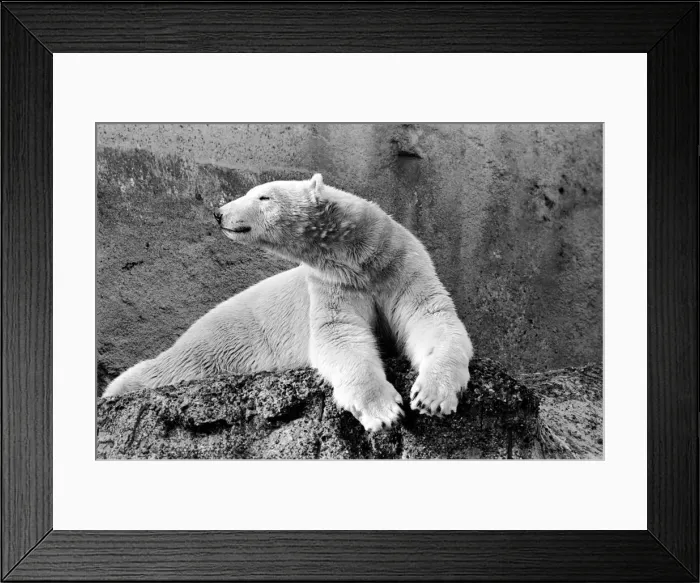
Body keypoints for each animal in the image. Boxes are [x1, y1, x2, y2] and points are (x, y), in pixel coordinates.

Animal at [102, 174, 474, 432]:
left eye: (263, 195)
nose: (219, 212)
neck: (361, 256)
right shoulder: (332, 284)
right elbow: (339, 337)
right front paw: (383, 411)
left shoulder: (401, 267)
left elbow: (431, 318)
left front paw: (432, 396)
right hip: (216, 346)